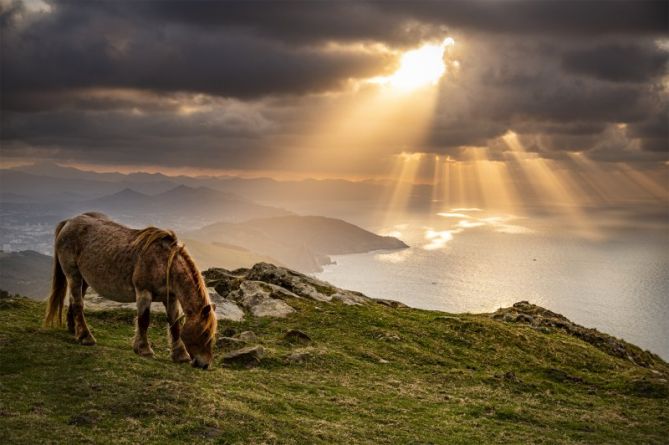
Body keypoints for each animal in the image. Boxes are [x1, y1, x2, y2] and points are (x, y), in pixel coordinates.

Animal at [44, 212, 217, 368]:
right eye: (205, 333)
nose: (204, 364)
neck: (165, 263)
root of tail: (69, 222)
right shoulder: (144, 292)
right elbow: (144, 320)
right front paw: (144, 349)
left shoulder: (171, 298)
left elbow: (174, 325)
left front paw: (180, 355)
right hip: (73, 274)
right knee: (78, 303)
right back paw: (86, 337)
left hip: (84, 278)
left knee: (74, 300)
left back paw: (73, 329)